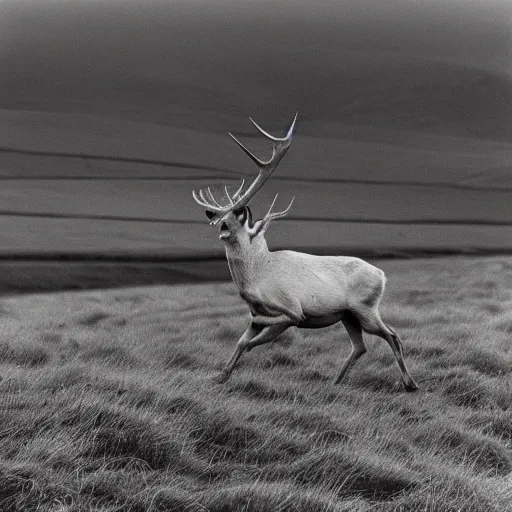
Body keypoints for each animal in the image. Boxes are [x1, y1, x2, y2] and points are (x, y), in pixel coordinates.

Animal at [194, 113, 418, 392]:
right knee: (360, 346)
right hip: (349, 315)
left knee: (392, 334)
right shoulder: (255, 314)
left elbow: (261, 334)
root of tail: (383, 275)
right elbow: (241, 341)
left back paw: (410, 383)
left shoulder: (289, 308)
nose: (217, 221)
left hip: (365, 308)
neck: (255, 278)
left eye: (236, 215)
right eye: (222, 215)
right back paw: (336, 381)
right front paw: (220, 376)